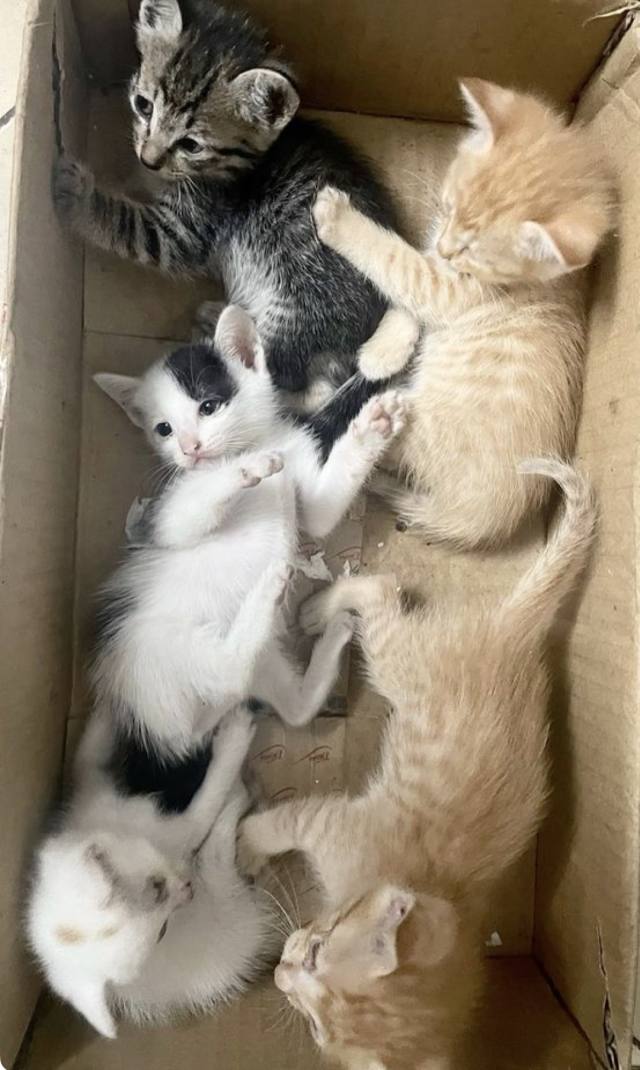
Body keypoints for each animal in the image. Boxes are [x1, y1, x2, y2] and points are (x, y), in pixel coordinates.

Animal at [27, 704, 271, 1038]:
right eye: (162, 931)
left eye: (156, 883)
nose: (189, 889)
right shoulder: (183, 832)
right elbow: (207, 803)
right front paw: (233, 741)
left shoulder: (92, 798)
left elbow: (84, 758)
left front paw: (106, 711)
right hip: (225, 902)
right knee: (217, 849)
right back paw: (237, 798)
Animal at [53, 0, 406, 412]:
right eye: (143, 106)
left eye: (191, 144)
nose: (149, 158)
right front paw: (129, 175)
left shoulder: (187, 231)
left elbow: (131, 226)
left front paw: (76, 193)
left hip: (297, 309)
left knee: (289, 382)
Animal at [93, 304, 405, 756]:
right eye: (163, 429)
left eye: (208, 407)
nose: (190, 450)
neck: (253, 442)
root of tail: (172, 732)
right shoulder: (167, 514)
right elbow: (190, 514)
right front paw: (246, 468)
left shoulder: (308, 497)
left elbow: (321, 514)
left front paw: (373, 427)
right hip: (164, 645)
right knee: (229, 668)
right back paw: (269, 586)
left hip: (261, 664)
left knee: (286, 705)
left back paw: (331, 637)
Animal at [237, 460, 596, 1070]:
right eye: (314, 954)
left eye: (313, 1027)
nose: (280, 973)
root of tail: (514, 635)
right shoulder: (330, 822)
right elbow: (276, 821)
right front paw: (245, 846)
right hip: (399, 660)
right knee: (381, 590)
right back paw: (321, 606)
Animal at [311, 78, 611, 547]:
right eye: (448, 207)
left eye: (475, 251)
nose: (448, 247)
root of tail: (481, 520)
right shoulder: (437, 265)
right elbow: (408, 286)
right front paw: (385, 348)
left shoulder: (447, 289)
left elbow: (396, 260)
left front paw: (340, 218)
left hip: (415, 423)